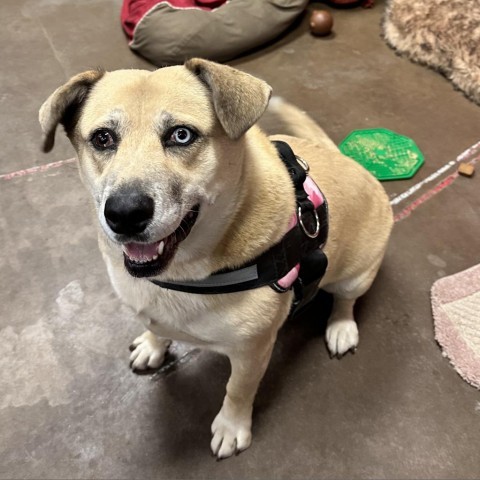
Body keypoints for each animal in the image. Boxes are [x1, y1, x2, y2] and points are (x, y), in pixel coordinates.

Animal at [40, 58, 394, 460]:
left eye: (181, 135)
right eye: (102, 138)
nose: (125, 213)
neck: (184, 274)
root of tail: (345, 158)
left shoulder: (251, 353)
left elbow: (237, 391)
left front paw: (232, 427)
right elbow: (157, 328)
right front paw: (153, 345)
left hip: (356, 275)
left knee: (346, 302)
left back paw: (341, 328)